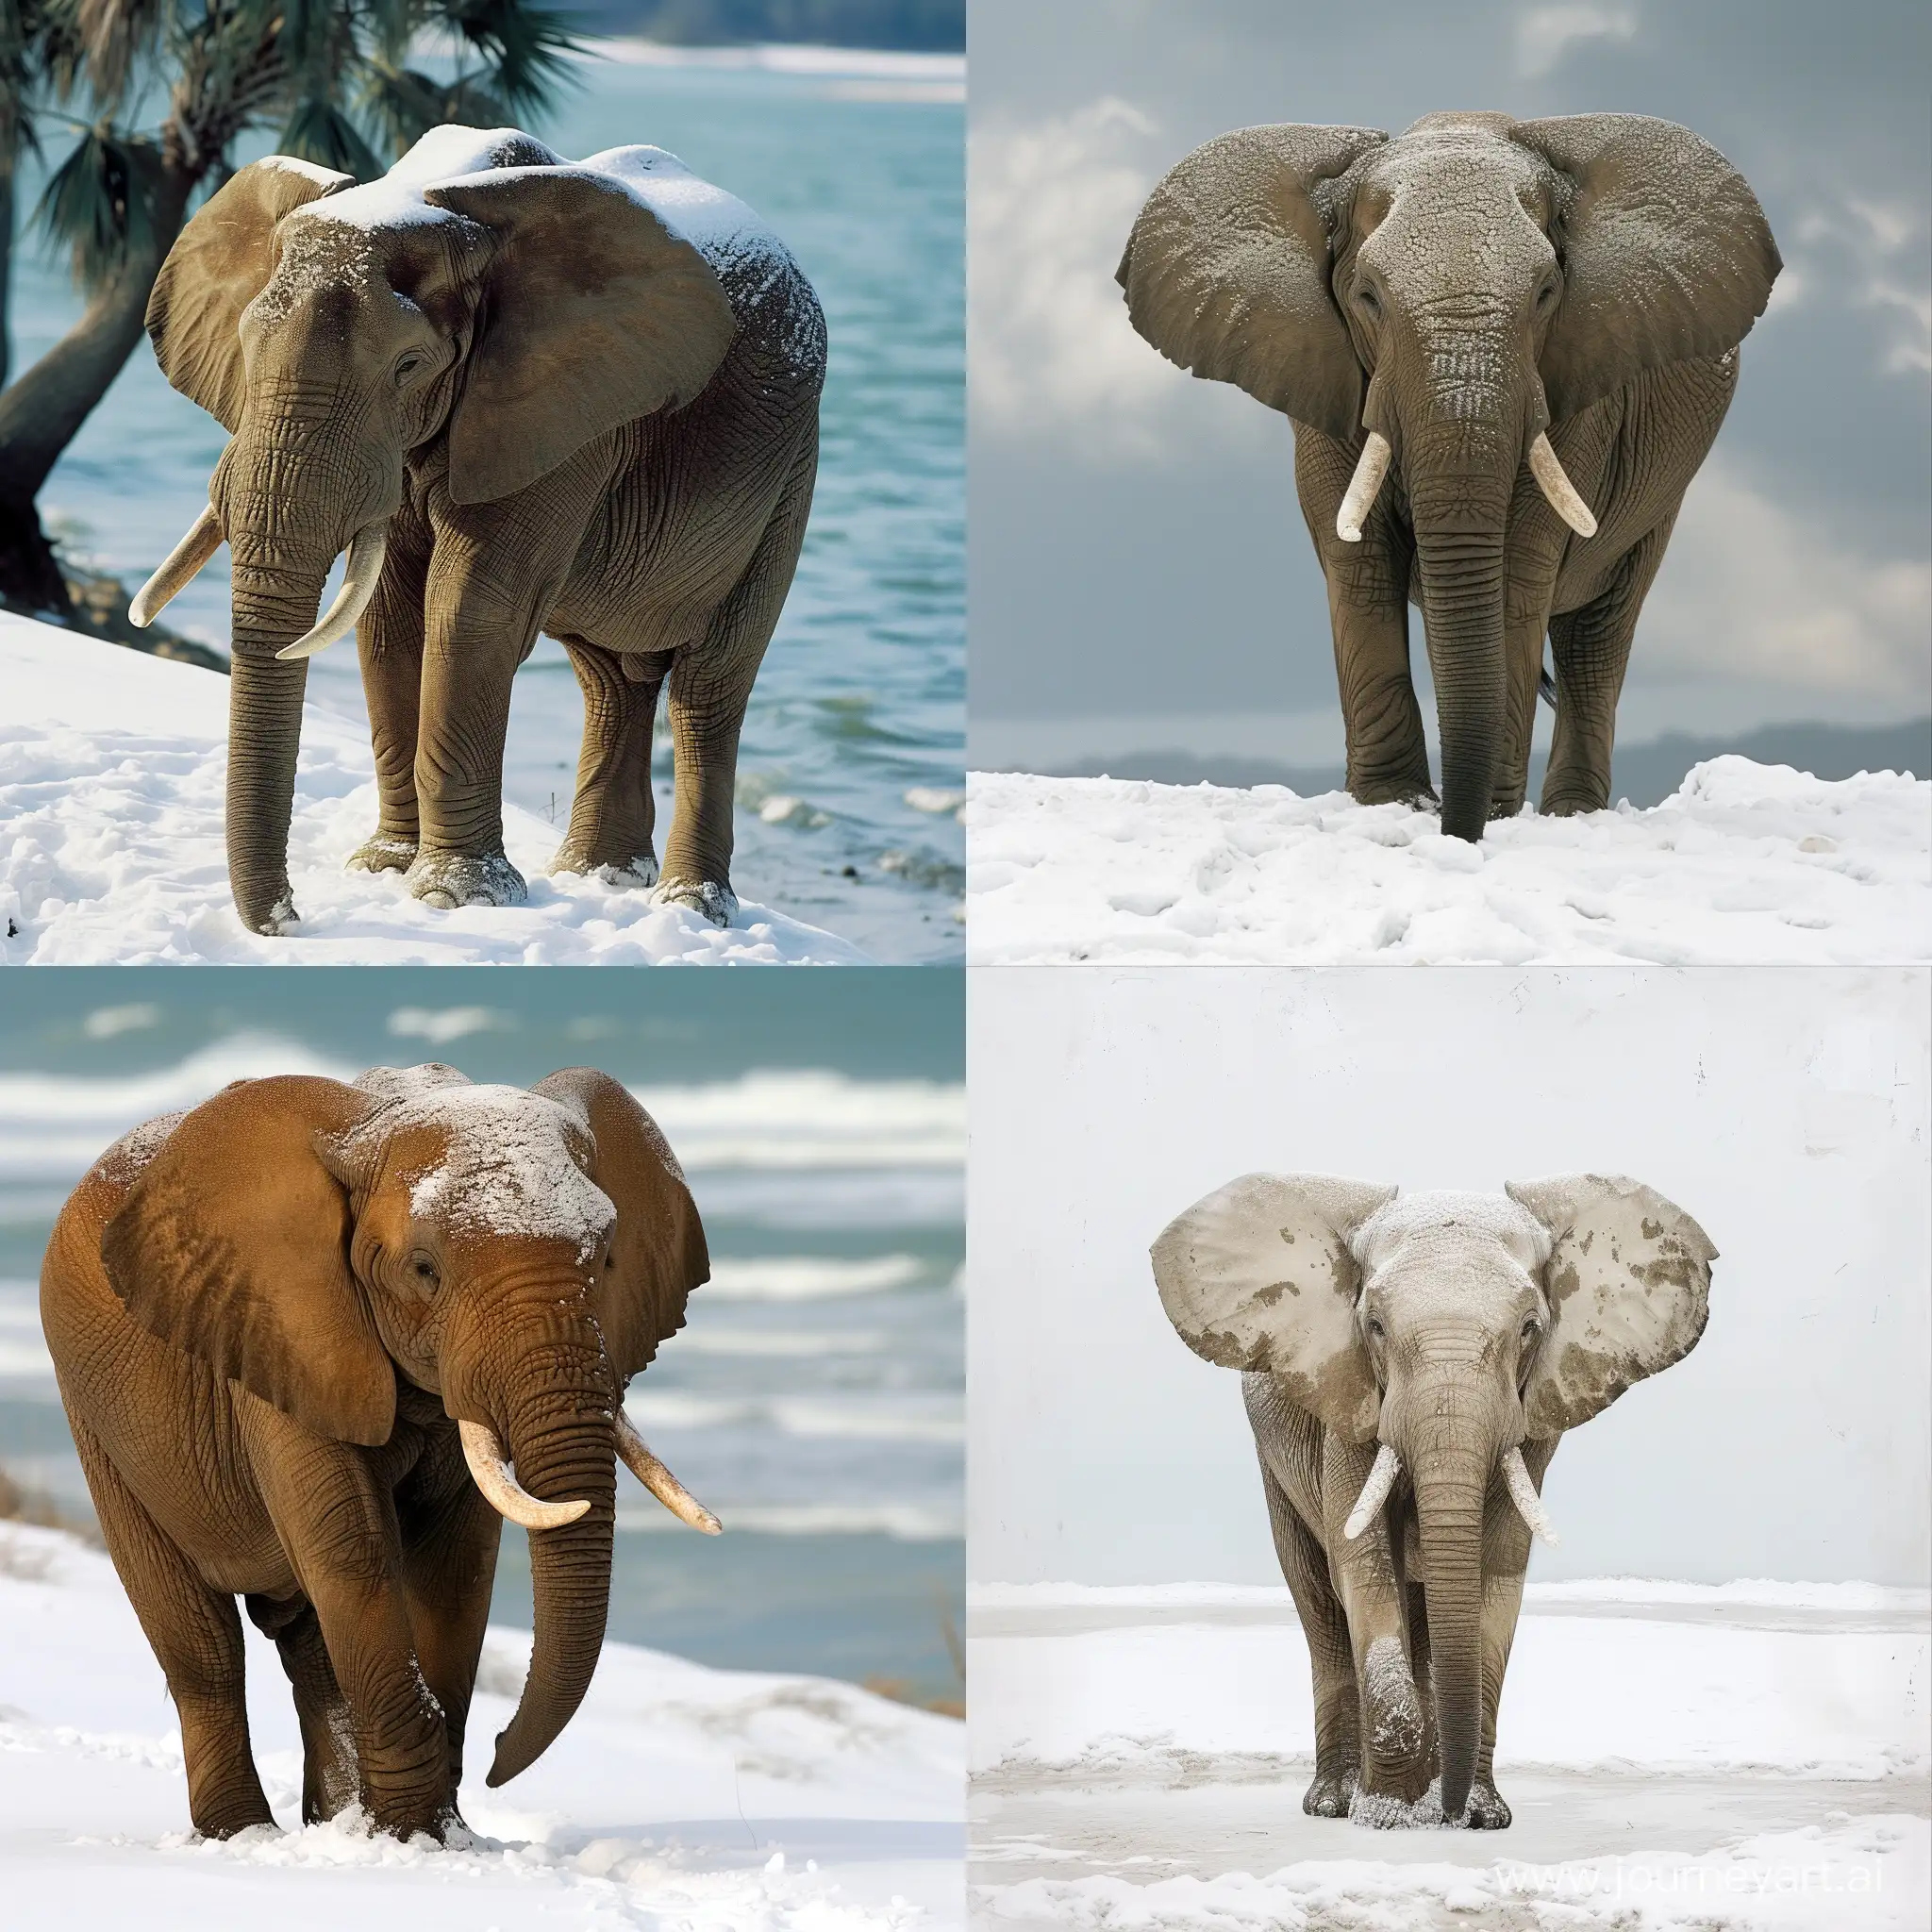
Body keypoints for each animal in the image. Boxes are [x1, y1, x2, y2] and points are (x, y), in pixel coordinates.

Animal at [35, 1066, 718, 1831]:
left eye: (605, 1258)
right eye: (424, 1270)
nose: (498, 1755)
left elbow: (457, 1564)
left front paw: (435, 1835)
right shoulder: (284, 1331)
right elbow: (350, 1549)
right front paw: (412, 1835)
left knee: (306, 1645)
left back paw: (332, 1824)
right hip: (94, 1416)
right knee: (202, 1649)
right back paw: (244, 1834)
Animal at [128, 123, 823, 935]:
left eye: (408, 365)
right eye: (243, 345)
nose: (288, 921)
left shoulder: (569, 411)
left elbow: (469, 610)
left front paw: (456, 896)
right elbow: (387, 618)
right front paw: (385, 869)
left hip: (790, 474)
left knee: (712, 682)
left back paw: (691, 906)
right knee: (609, 678)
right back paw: (598, 877)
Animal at [1120, 110, 1777, 838]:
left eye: (1546, 293)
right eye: (1368, 297)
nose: (1455, 826)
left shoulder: (1579, 385)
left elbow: (1517, 569)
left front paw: (1489, 810)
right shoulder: (1324, 374)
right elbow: (1361, 564)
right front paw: (1393, 802)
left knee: (1599, 632)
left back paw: (1572, 813)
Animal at [1143, 1174, 1707, 1824]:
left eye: (1529, 1328)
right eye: (1375, 1326)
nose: (1452, 1812)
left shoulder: (1530, 1424)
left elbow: (1497, 1571)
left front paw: (1478, 1816)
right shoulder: (1348, 1401)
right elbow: (1362, 1568)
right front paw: (1386, 1815)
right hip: (1273, 1461)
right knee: (1318, 1602)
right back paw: (1336, 1803)